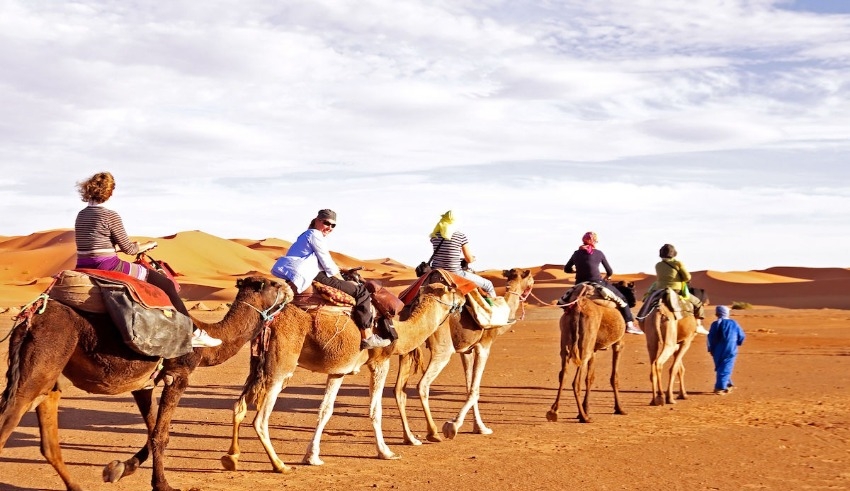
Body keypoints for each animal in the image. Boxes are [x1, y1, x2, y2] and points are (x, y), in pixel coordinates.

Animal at [0, 276, 292, 491]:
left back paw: (76, 486)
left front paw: (119, 468)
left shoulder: (145, 383)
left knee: (48, 434)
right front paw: (162, 485)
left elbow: (153, 432)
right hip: (45, 356)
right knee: (10, 418)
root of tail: (30, 317)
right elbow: (161, 435)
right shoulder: (179, 375)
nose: (290, 288)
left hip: (49, 375)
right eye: (273, 284)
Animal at [219, 276, 464, 472]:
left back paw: (232, 457)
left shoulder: (338, 371)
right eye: (450, 289)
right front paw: (386, 452)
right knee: (260, 419)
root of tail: (270, 319)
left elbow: (325, 411)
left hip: (258, 364)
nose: (463, 297)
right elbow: (375, 410)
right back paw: (280, 465)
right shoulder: (380, 361)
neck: (401, 330)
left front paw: (312, 457)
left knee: (239, 406)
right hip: (281, 367)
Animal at [390, 270, 528, 446]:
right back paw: (433, 433)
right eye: (529, 279)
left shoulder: (466, 351)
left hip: (409, 343)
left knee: (399, 390)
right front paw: (453, 426)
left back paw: (410, 438)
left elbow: (469, 386)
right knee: (423, 384)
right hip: (442, 347)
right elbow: (475, 390)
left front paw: (479, 428)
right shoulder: (484, 346)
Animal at [548, 282, 632, 424]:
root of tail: (578, 306)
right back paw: (584, 417)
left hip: (566, 339)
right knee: (575, 382)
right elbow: (614, 377)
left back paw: (554, 412)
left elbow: (590, 378)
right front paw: (619, 409)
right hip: (585, 343)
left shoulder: (594, 350)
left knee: (563, 374)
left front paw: (586, 408)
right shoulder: (618, 344)